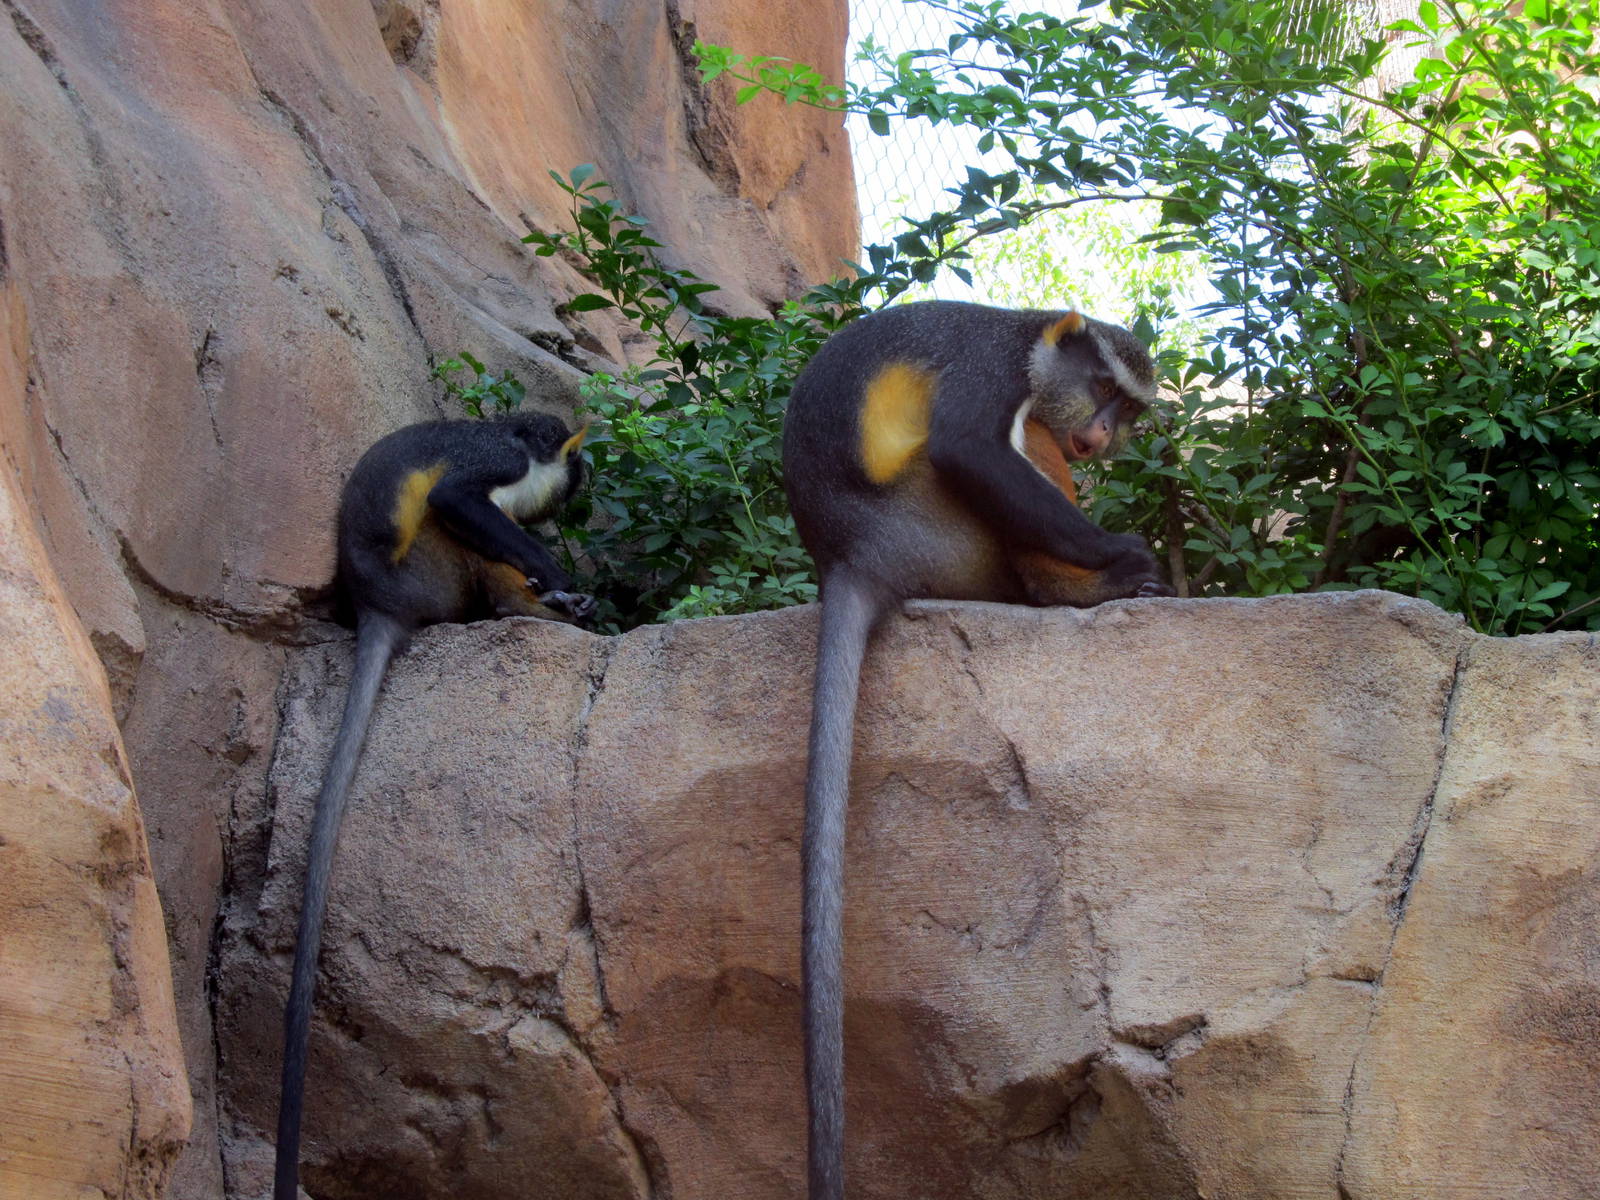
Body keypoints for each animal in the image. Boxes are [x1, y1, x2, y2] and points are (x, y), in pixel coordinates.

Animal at [274, 410, 596, 1200]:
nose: (571, 499)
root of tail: (378, 606)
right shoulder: (495, 459)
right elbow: (455, 498)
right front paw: (562, 582)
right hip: (431, 571)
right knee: (455, 526)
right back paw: (529, 607)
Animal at [781, 300, 1173, 1200]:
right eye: (1103, 388)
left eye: (1129, 409)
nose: (1103, 432)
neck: (1029, 337)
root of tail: (856, 556)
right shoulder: (988, 372)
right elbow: (969, 446)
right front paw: (1121, 555)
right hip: (950, 539)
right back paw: (1080, 588)